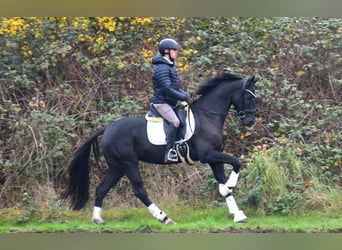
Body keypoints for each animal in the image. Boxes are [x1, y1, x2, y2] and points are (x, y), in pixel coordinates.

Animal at [62, 72, 256, 225]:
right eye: (249, 97)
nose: (251, 121)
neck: (208, 116)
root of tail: (107, 129)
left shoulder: (214, 157)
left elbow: (223, 182)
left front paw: (237, 214)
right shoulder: (208, 155)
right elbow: (235, 163)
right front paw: (231, 186)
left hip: (117, 167)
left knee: (102, 189)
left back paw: (97, 219)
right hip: (128, 163)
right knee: (139, 191)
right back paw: (164, 218)